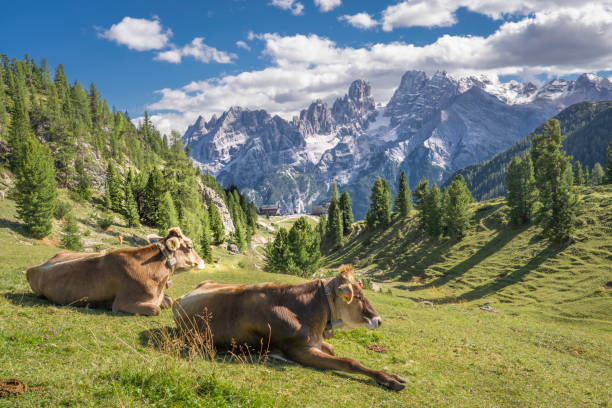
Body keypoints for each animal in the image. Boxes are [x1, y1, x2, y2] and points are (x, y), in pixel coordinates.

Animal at [26, 226, 203, 316]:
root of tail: (33, 267)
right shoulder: (123, 303)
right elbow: (156, 309)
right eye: (190, 246)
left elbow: (169, 301)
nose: (202, 261)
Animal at [173, 262, 406, 390]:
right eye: (357, 296)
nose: (378, 320)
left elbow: (332, 349)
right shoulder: (298, 350)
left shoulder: (315, 342)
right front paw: (388, 379)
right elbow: (349, 362)